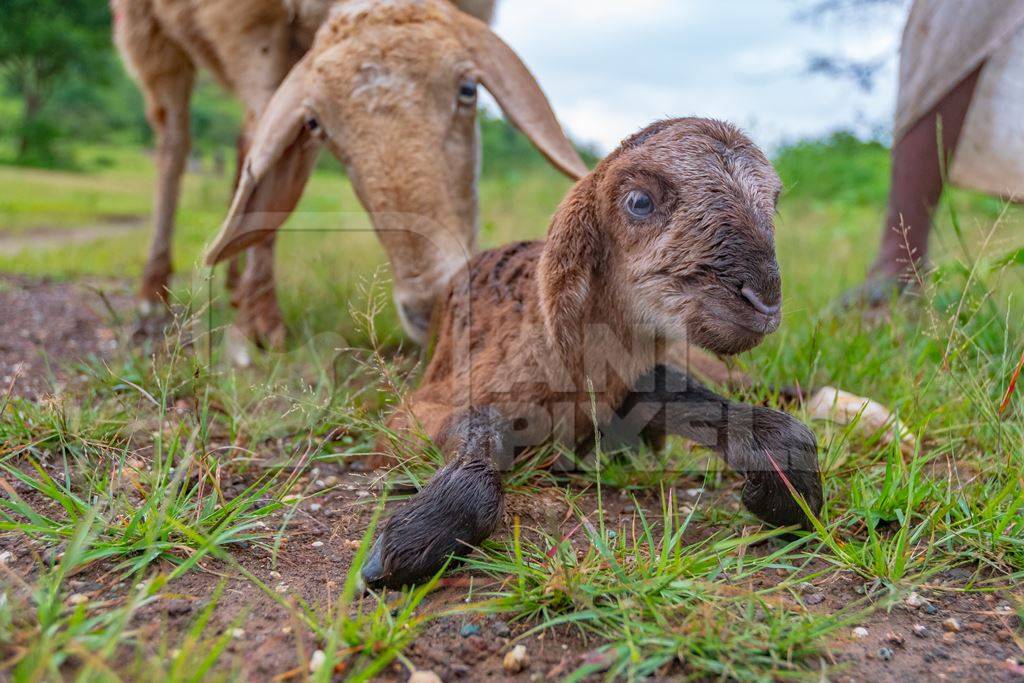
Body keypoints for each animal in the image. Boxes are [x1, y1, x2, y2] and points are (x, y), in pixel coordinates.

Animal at [113, 0, 589, 350]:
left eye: (468, 90)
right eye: (315, 125)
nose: (431, 306)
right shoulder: (244, 24)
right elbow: (264, 121)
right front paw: (261, 323)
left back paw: (232, 285)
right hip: (147, 31)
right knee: (176, 142)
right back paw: (154, 292)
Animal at [360, 117, 823, 589]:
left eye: (773, 202)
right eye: (639, 201)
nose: (764, 300)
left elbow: (688, 399)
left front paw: (785, 488)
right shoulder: (413, 415)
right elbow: (481, 425)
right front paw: (411, 542)